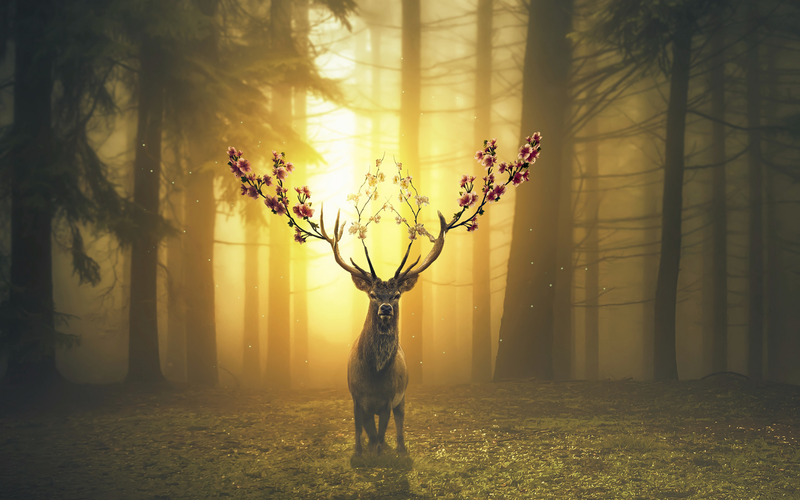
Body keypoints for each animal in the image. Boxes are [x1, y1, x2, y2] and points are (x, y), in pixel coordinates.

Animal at [319, 205, 450, 456]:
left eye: (397, 294)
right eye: (372, 294)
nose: (386, 308)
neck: (374, 376)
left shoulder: (390, 399)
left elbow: (382, 431)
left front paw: (380, 452)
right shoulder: (355, 397)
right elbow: (359, 429)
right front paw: (359, 452)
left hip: (403, 397)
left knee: (398, 423)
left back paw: (400, 449)